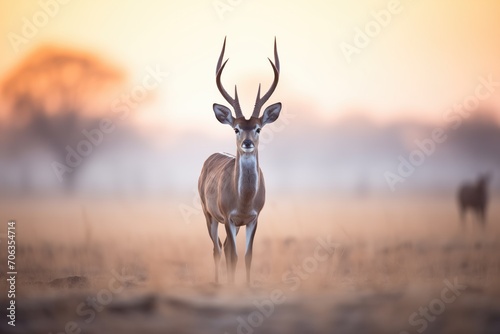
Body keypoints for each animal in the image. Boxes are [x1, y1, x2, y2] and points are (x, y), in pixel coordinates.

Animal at [198, 38, 282, 284]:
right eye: (236, 128)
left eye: (258, 128)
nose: (247, 143)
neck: (243, 202)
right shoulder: (228, 216)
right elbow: (233, 255)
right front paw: (232, 286)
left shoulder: (254, 218)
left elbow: (247, 256)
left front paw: (245, 286)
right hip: (207, 212)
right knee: (217, 249)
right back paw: (218, 282)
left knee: (223, 247)